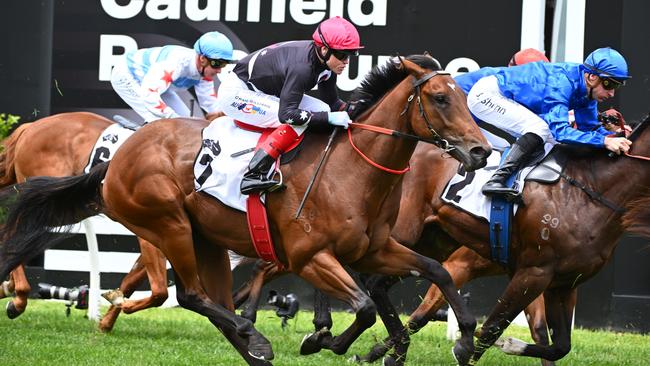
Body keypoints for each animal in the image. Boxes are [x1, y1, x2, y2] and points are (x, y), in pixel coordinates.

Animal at [0, 111, 170, 328]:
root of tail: (31, 127)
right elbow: (160, 292)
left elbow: (134, 280)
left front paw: (106, 321)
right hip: (53, 201)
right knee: (13, 234)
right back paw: (20, 297)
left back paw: (9, 287)